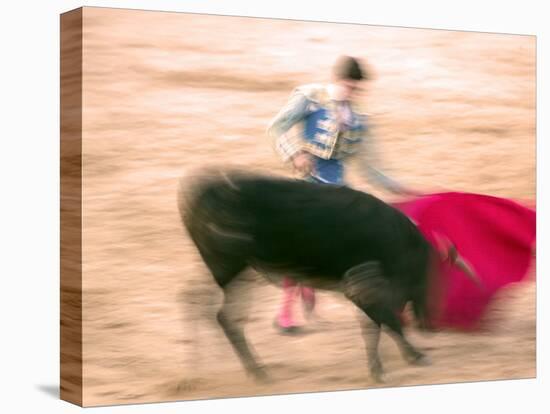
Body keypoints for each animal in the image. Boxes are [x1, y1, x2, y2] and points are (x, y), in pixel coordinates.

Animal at [179, 171, 446, 382]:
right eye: (424, 275)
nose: (428, 325)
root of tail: (202, 193)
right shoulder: (361, 284)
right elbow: (385, 321)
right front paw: (407, 359)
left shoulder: (364, 287)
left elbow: (374, 324)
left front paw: (384, 365)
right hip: (229, 269)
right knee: (213, 311)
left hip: (237, 272)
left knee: (205, 306)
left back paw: (223, 368)